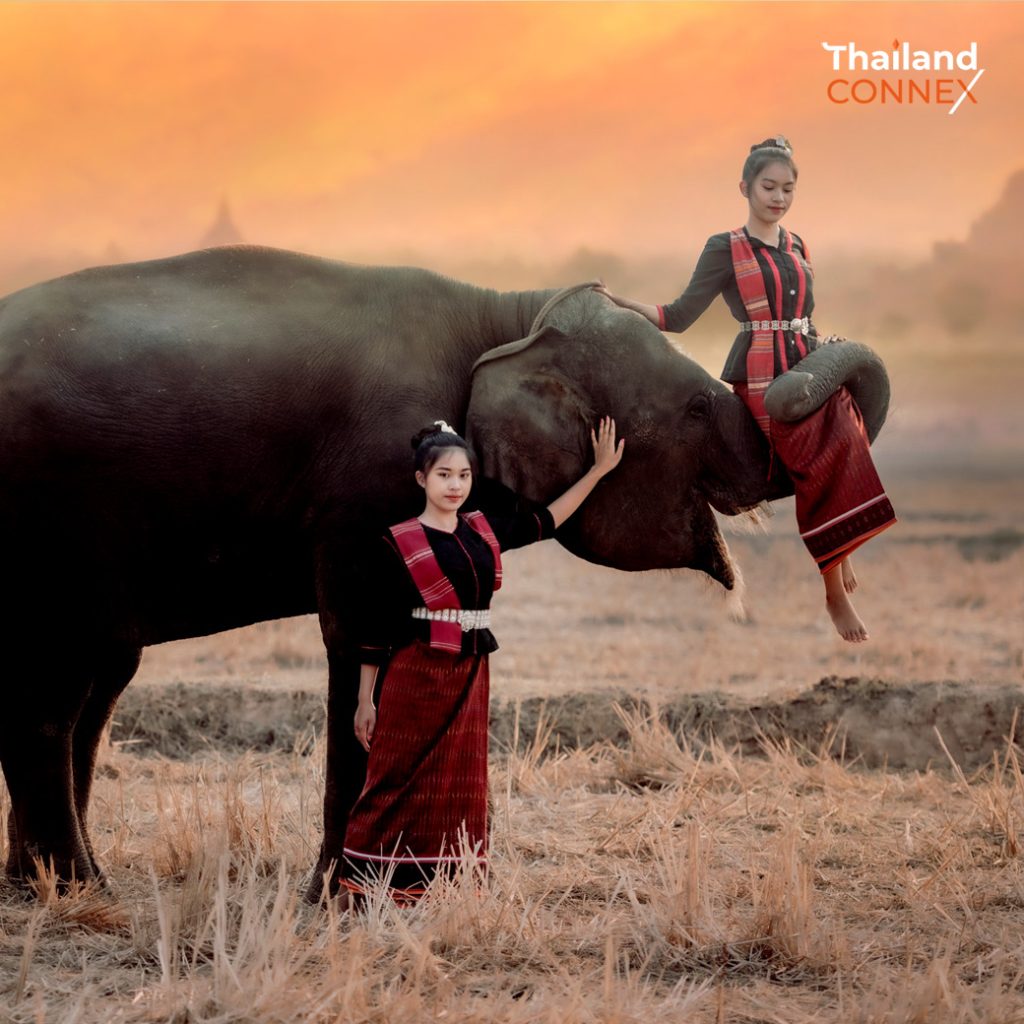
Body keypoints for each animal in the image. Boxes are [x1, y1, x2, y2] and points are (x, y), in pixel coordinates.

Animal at [0, 243, 884, 901]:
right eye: (698, 408)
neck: (507, 313)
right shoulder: (366, 490)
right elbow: (360, 639)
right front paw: (345, 896)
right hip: (48, 525)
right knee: (58, 697)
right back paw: (74, 890)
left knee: (95, 687)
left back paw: (47, 884)